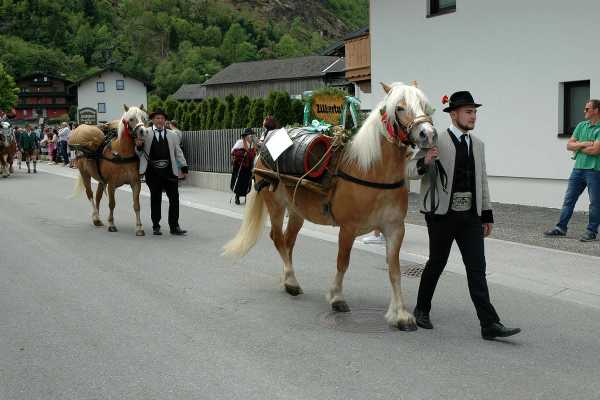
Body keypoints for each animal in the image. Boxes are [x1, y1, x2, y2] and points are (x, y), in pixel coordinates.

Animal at [72, 104, 148, 234]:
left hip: (101, 180)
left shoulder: (135, 183)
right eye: (131, 119)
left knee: (98, 196)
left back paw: (97, 218)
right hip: (85, 174)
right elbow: (112, 204)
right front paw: (111, 224)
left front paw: (139, 227)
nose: (142, 131)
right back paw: (96, 217)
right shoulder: (111, 184)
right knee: (90, 194)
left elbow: (136, 205)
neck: (121, 153)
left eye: (143, 118)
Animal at [223, 81, 438, 332]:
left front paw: (401, 315)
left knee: (288, 242)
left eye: (423, 104)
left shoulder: (395, 229)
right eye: (400, 107)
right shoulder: (348, 228)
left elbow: (395, 271)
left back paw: (288, 279)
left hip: (296, 212)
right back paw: (292, 281)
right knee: (277, 239)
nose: (428, 134)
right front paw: (336, 297)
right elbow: (342, 263)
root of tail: (261, 150)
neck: (371, 171)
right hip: (276, 205)